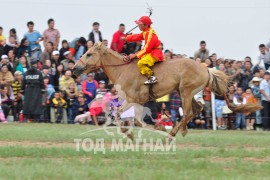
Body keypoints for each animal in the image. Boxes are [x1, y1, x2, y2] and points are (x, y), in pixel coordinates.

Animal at [73, 42, 262, 138]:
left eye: (89, 54)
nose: (74, 69)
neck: (123, 70)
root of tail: (206, 68)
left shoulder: (132, 100)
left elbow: (121, 115)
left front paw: (148, 130)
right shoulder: (138, 102)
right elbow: (134, 120)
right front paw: (152, 127)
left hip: (185, 92)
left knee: (188, 112)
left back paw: (173, 132)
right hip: (185, 93)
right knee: (196, 109)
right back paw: (182, 130)